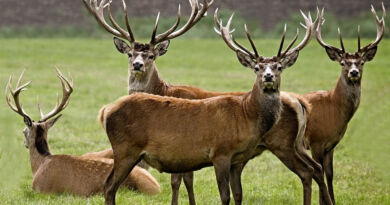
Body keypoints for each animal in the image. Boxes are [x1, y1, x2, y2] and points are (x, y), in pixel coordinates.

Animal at [304, 4, 386, 203]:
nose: (354, 72)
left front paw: (332, 200)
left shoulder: (331, 145)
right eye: (343, 62)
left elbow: (330, 174)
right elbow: (319, 172)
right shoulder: (316, 141)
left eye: (362, 62)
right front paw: (323, 201)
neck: (333, 108)